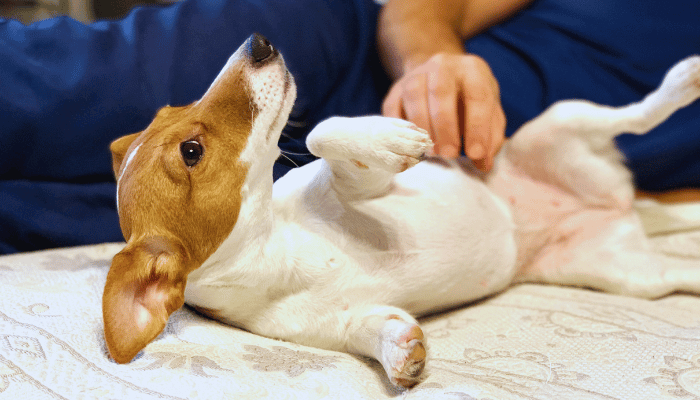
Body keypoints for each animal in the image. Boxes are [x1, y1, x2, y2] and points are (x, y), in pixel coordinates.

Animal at [102, 33, 700, 388]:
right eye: (191, 151)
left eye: (175, 108)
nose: (259, 42)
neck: (283, 246)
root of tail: (617, 201)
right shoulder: (342, 326)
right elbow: (376, 330)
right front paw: (401, 352)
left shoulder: (358, 185)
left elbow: (321, 133)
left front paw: (391, 135)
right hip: (630, 274)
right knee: (681, 268)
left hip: (564, 121)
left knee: (640, 114)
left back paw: (682, 81)